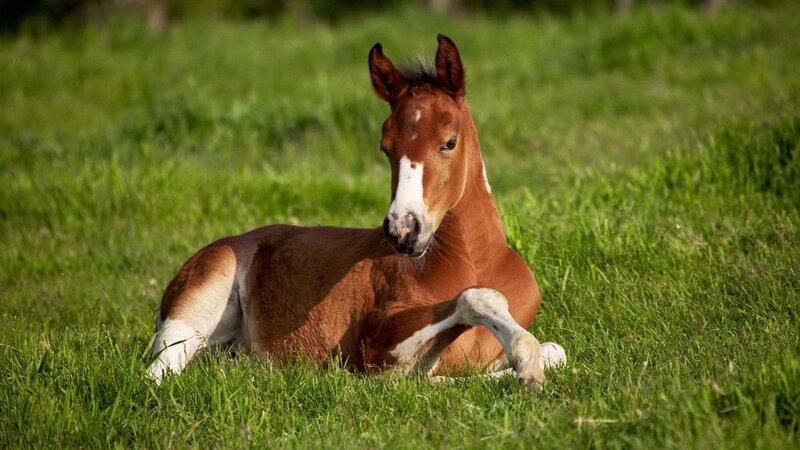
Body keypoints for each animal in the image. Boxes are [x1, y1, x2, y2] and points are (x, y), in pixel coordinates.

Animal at [147, 34, 566, 387]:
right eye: (385, 148)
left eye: (449, 141)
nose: (403, 230)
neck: (475, 262)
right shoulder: (376, 346)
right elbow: (472, 303)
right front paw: (525, 363)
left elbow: (556, 351)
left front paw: (524, 368)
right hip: (196, 304)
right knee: (157, 373)